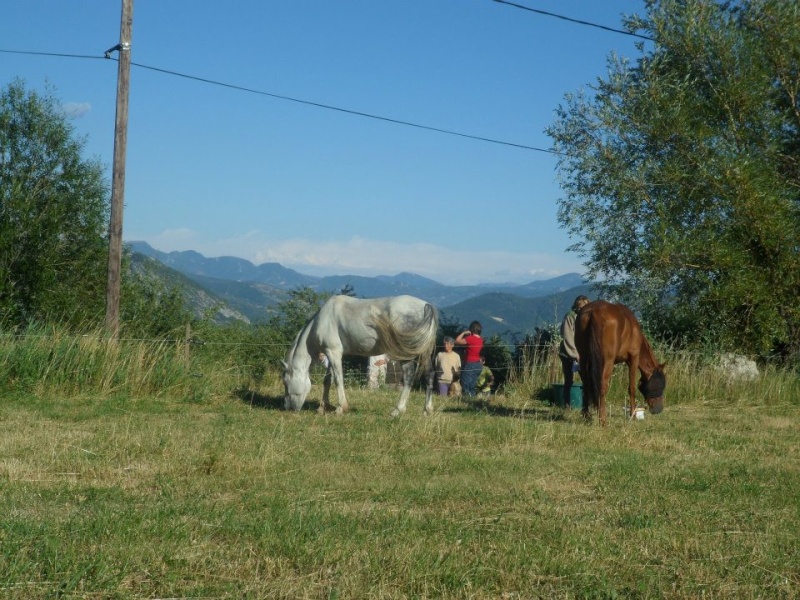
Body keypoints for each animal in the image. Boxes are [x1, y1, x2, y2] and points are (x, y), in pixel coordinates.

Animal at [282, 296, 438, 418]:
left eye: (285, 383)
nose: (287, 408)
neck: (323, 320)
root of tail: (425, 306)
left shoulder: (334, 353)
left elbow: (338, 380)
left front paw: (341, 408)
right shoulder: (330, 353)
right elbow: (327, 380)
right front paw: (322, 407)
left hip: (405, 355)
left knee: (408, 378)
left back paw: (397, 410)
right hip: (425, 354)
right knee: (429, 375)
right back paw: (427, 409)